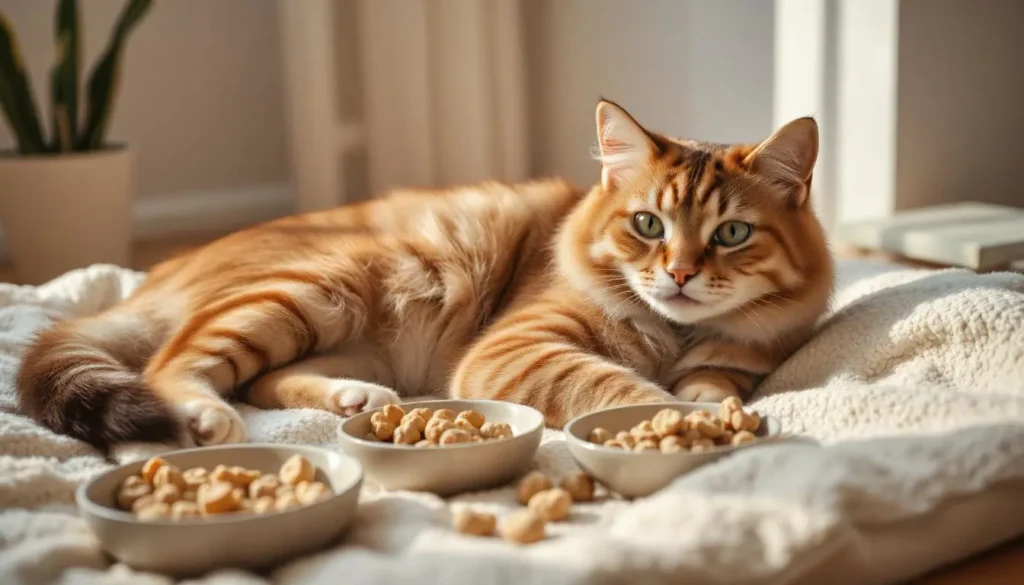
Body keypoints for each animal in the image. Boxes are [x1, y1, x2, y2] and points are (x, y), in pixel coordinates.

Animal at [16, 99, 831, 448]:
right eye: (648, 226)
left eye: (731, 234)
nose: (681, 274)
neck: (673, 332)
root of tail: (162, 274)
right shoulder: (514, 348)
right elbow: (624, 390)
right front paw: (682, 419)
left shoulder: (736, 359)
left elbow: (714, 380)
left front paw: (713, 403)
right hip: (324, 287)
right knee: (176, 365)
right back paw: (204, 418)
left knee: (261, 380)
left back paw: (354, 399)